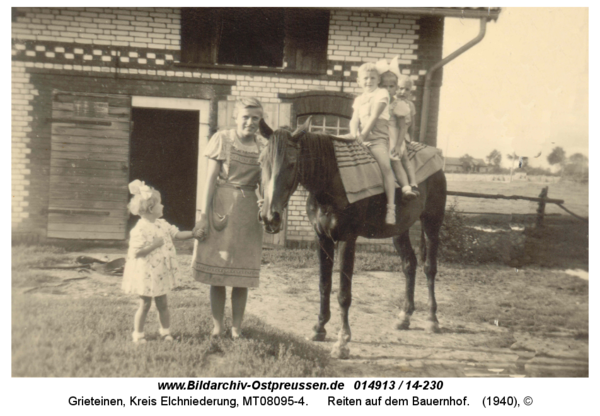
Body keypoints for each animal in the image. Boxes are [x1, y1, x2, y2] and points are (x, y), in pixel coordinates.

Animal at [258, 120, 446, 358]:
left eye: (292, 163)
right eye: (261, 161)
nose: (269, 217)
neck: (332, 181)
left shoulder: (347, 240)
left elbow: (344, 293)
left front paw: (342, 342)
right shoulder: (322, 239)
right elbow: (324, 285)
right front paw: (319, 328)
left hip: (432, 223)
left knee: (429, 268)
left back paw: (432, 319)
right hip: (399, 230)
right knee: (409, 265)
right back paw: (405, 316)